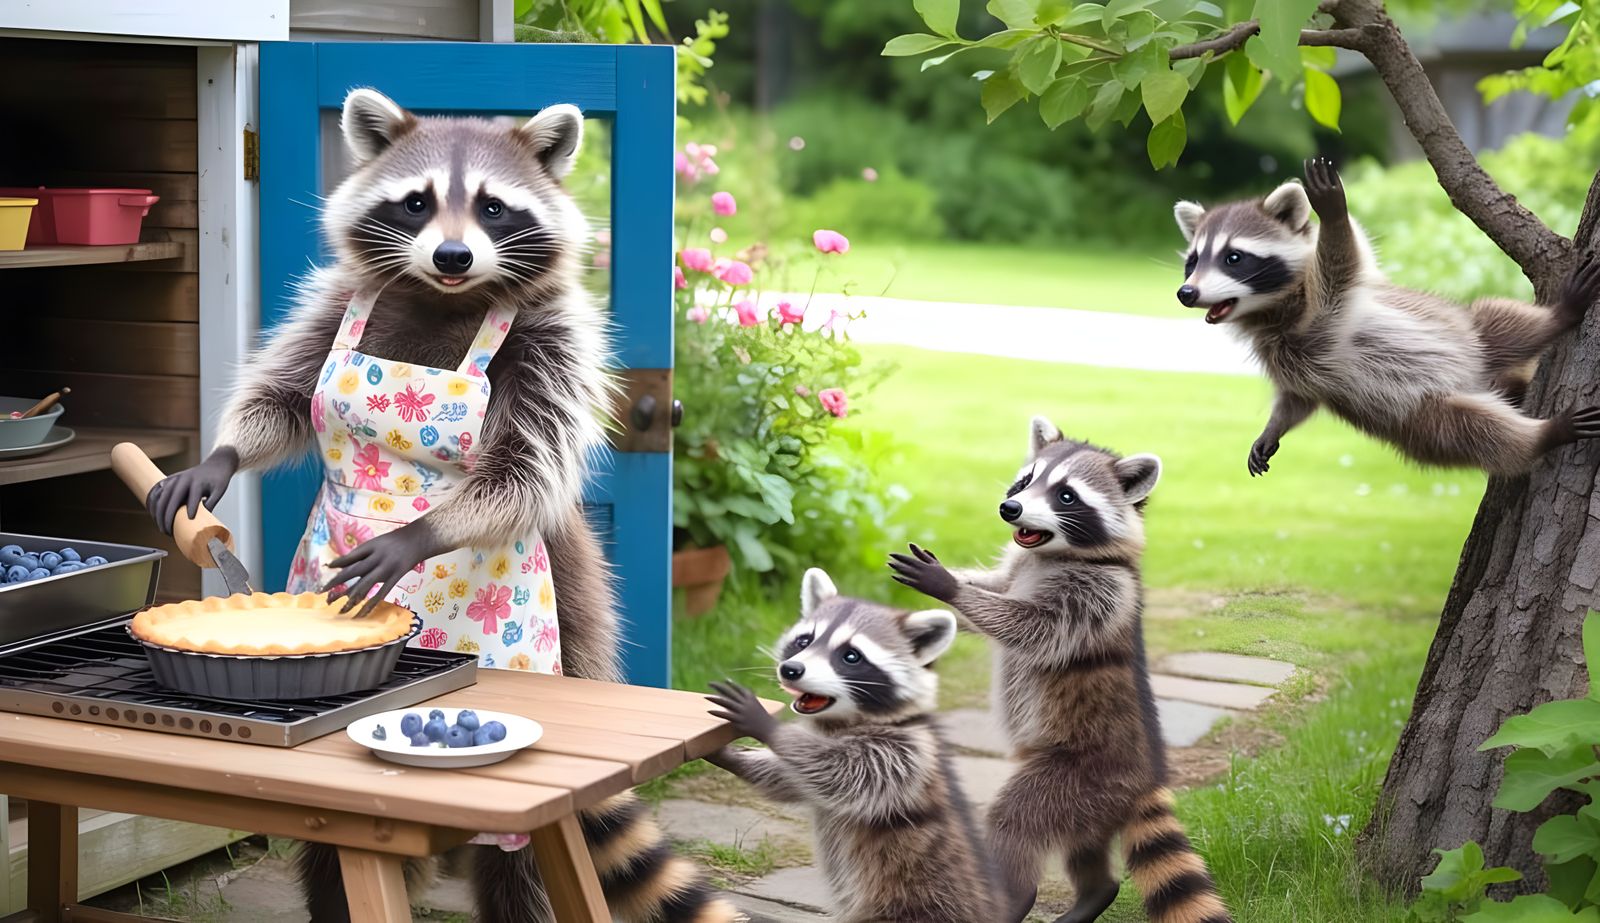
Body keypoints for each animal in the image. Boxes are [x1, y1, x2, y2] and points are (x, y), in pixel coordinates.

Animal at [154, 89, 736, 923]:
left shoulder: (556, 342)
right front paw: (223, 454)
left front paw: (420, 530)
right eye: (417, 202)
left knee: (519, 864)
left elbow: (523, 465)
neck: (440, 297)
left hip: (563, 627)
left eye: (493, 207)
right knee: (332, 855)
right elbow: (284, 394)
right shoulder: (332, 305)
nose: (453, 256)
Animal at [704, 569, 999, 923]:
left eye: (851, 656)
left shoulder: (906, 754)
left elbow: (843, 775)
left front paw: (766, 726)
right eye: (804, 641)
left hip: (917, 899)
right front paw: (727, 754)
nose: (791, 669)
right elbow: (792, 780)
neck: (844, 721)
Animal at [889, 418, 1230, 923]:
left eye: (1066, 496)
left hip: (1079, 777)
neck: (1050, 554)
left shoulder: (1099, 594)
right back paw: (1095, 893)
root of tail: (1147, 781)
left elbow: (1030, 627)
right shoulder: (1018, 567)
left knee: (1015, 821)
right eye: (1025, 481)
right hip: (1087, 802)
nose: (1009, 508)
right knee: (1084, 845)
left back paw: (1014, 896)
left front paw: (949, 586)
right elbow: (995, 591)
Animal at [1173, 157, 1600, 477]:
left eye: (1234, 258)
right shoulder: (1289, 356)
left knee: (1503, 324)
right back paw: (1542, 435)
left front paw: (1335, 216)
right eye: (1192, 261)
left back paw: (1556, 320)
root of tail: (1481, 381)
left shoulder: (1335, 300)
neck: (1271, 311)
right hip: (1422, 423)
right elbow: (1299, 396)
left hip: (1464, 331)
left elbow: (1342, 258)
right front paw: (1275, 425)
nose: (1186, 293)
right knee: (1477, 432)